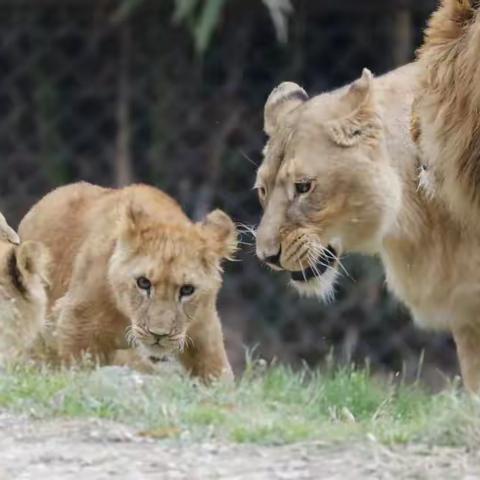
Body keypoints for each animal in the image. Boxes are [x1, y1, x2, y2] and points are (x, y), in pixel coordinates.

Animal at [18, 182, 236, 380]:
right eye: (143, 283)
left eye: (187, 289)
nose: (159, 335)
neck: (126, 317)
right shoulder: (76, 325)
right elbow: (77, 371)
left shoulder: (205, 332)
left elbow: (218, 375)